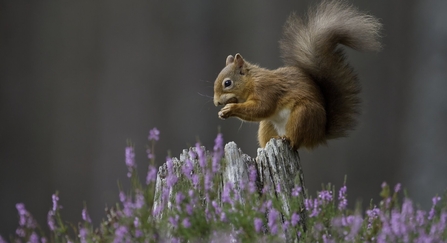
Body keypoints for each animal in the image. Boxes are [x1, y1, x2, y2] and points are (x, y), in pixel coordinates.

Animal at [214, 0, 382, 150]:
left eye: (227, 83)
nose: (216, 103)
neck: (252, 81)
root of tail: (318, 135)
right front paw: (222, 112)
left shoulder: (266, 89)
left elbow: (262, 108)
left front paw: (230, 109)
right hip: (267, 125)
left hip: (302, 115)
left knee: (295, 142)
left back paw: (286, 139)